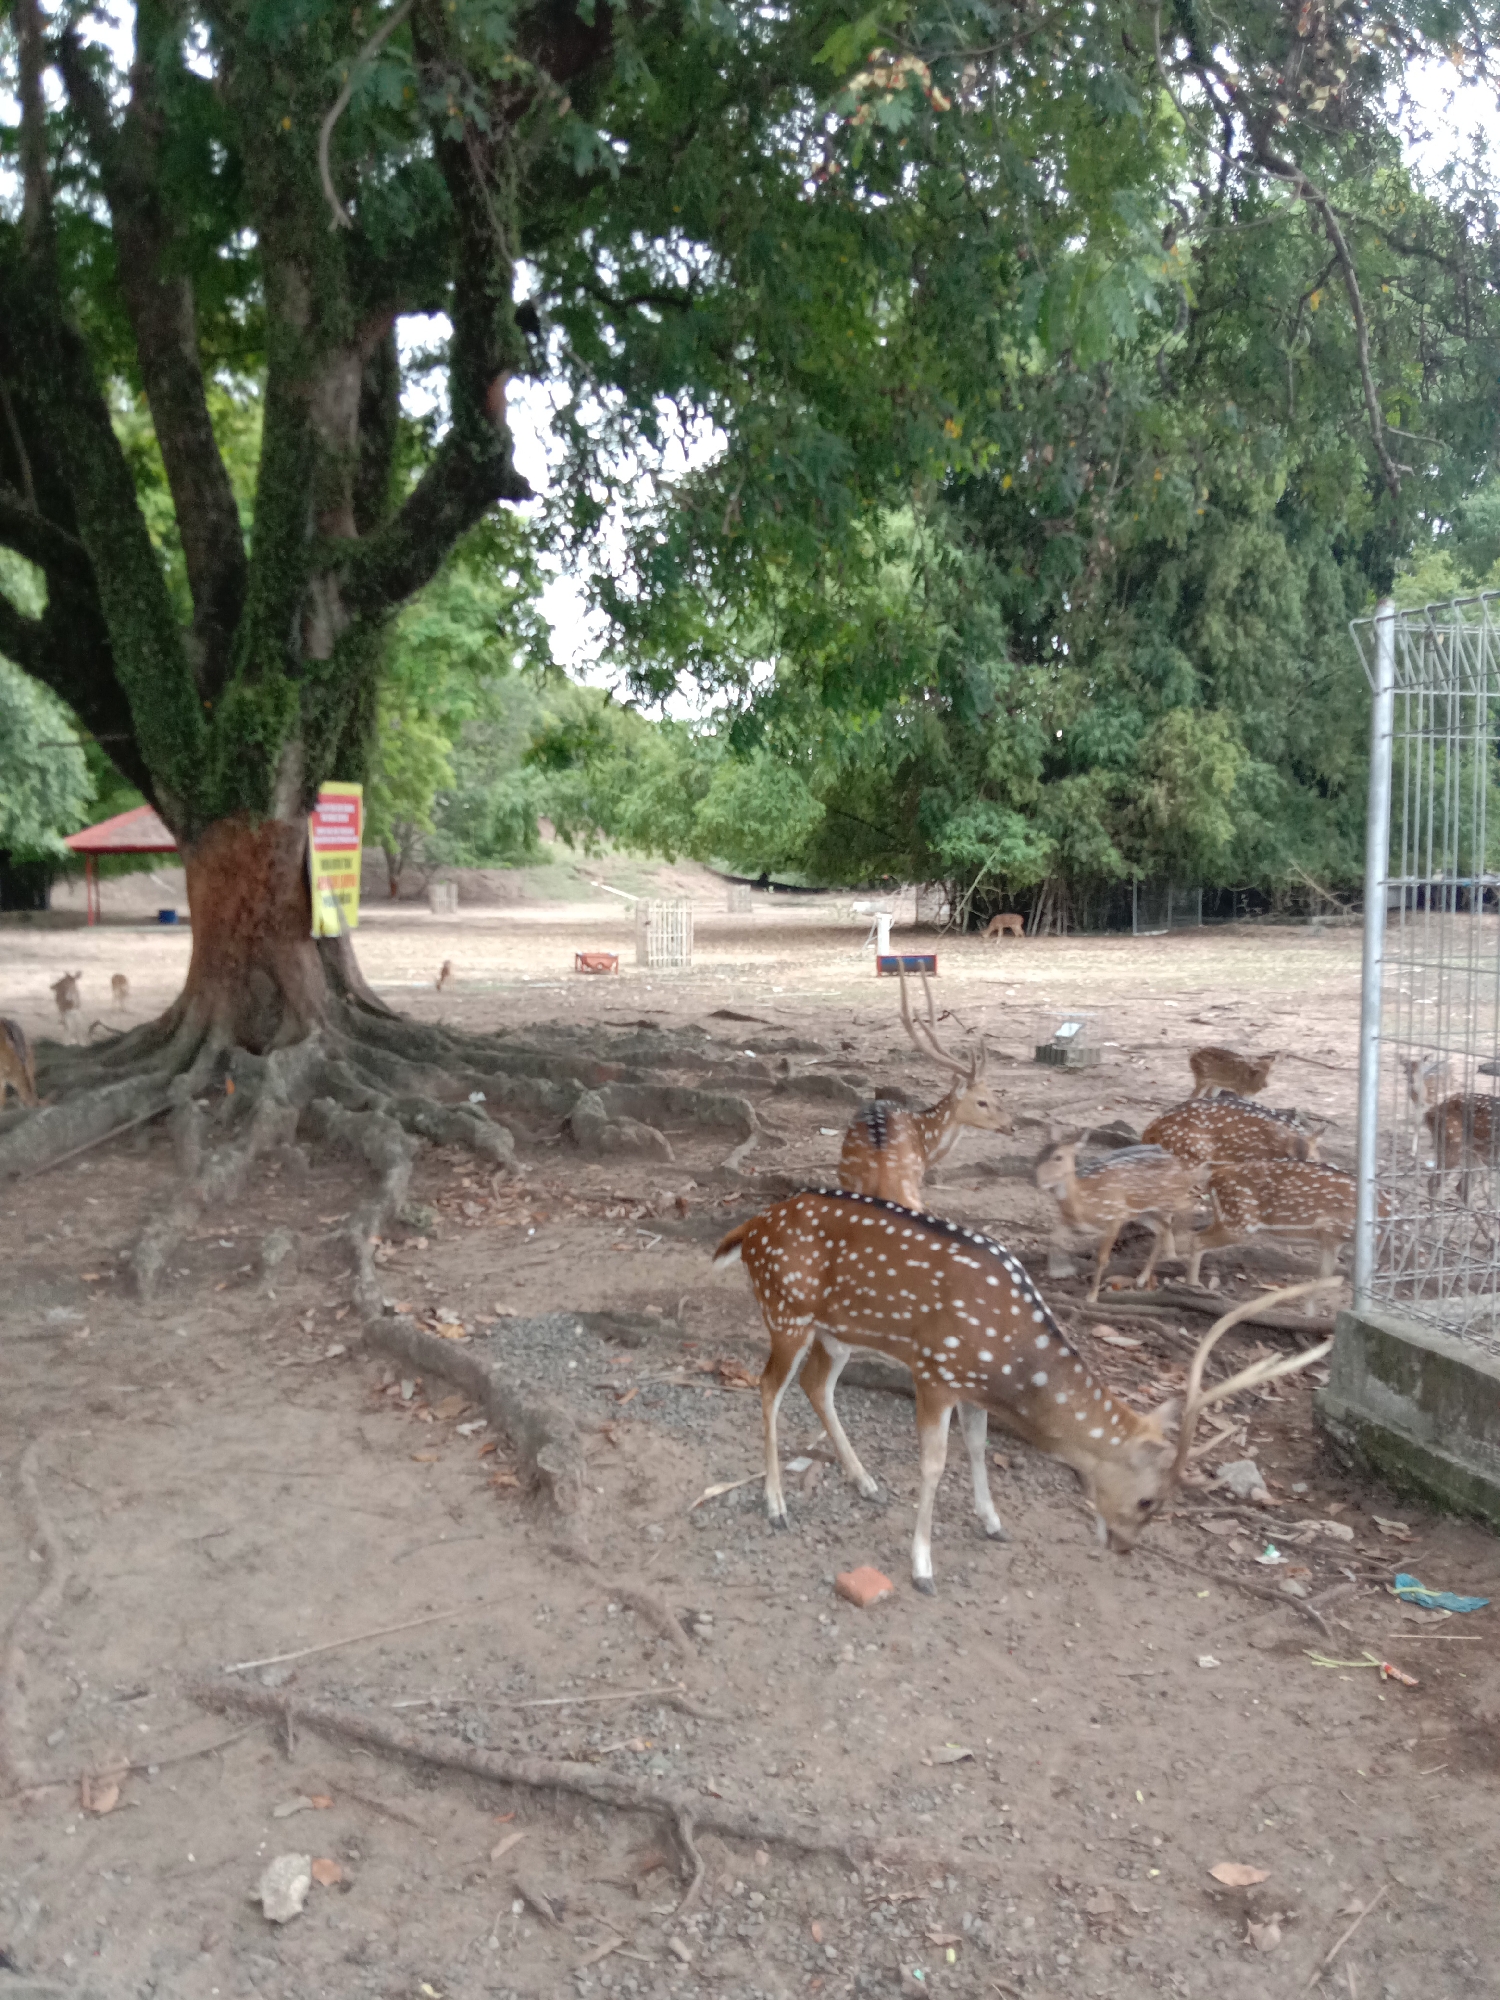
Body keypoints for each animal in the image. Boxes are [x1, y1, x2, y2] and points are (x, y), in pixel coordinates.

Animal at [714, 1189, 1333, 1591]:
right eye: (1148, 1500)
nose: (1124, 1547)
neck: (1011, 1363)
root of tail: (748, 1230)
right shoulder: (934, 1371)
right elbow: (934, 1465)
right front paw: (922, 1568)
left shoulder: (971, 1387)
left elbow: (977, 1448)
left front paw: (993, 1523)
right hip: (786, 1311)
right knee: (767, 1388)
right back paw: (776, 1505)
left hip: (836, 1330)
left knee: (817, 1384)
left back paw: (865, 1482)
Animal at [1033, 1134, 1210, 1301]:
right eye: (1039, 1153)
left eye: (1058, 1157)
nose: (1038, 1181)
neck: (1084, 1202)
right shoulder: (1067, 1220)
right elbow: (1053, 1239)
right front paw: (1059, 1270)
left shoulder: (1115, 1217)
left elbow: (1102, 1258)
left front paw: (1092, 1296)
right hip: (1141, 1212)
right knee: (1162, 1228)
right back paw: (1142, 1278)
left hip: (1171, 1197)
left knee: (1192, 1203)